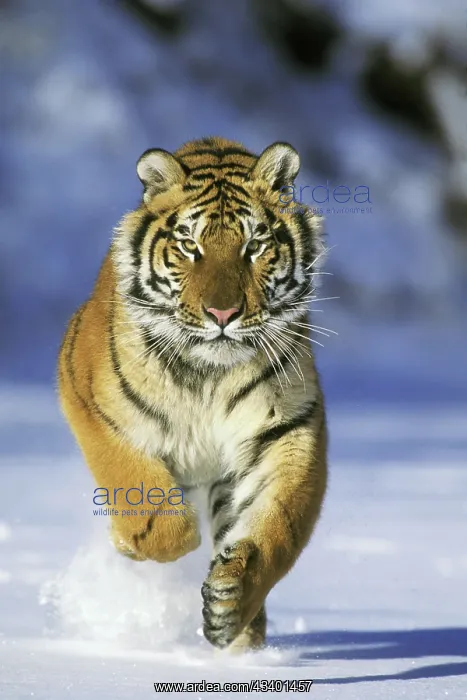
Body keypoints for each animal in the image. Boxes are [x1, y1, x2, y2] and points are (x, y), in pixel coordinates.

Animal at [57, 136, 328, 652]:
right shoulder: (87, 394)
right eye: (189, 245)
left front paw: (230, 599)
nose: (222, 314)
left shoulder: (288, 426)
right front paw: (140, 540)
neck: (210, 375)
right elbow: (147, 500)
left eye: (254, 246)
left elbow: (279, 524)